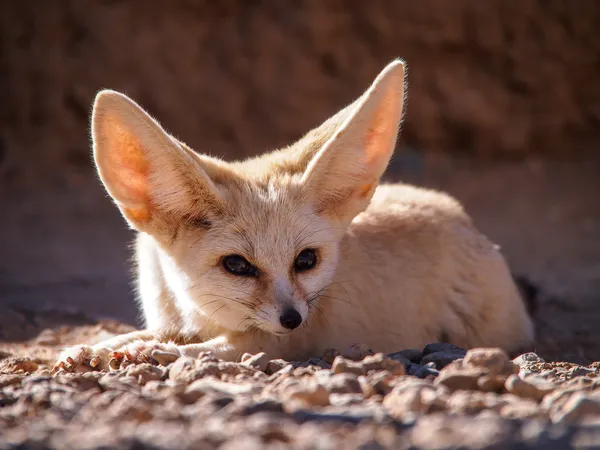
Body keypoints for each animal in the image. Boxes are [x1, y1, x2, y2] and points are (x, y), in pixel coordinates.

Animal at [56, 59, 536, 372]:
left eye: (306, 260)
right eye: (237, 266)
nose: (292, 318)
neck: (204, 315)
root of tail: (463, 218)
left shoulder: (283, 342)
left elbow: (208, 350)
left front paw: (153, 354)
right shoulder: (176, 321)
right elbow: (152, 336)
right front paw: (97, 348)